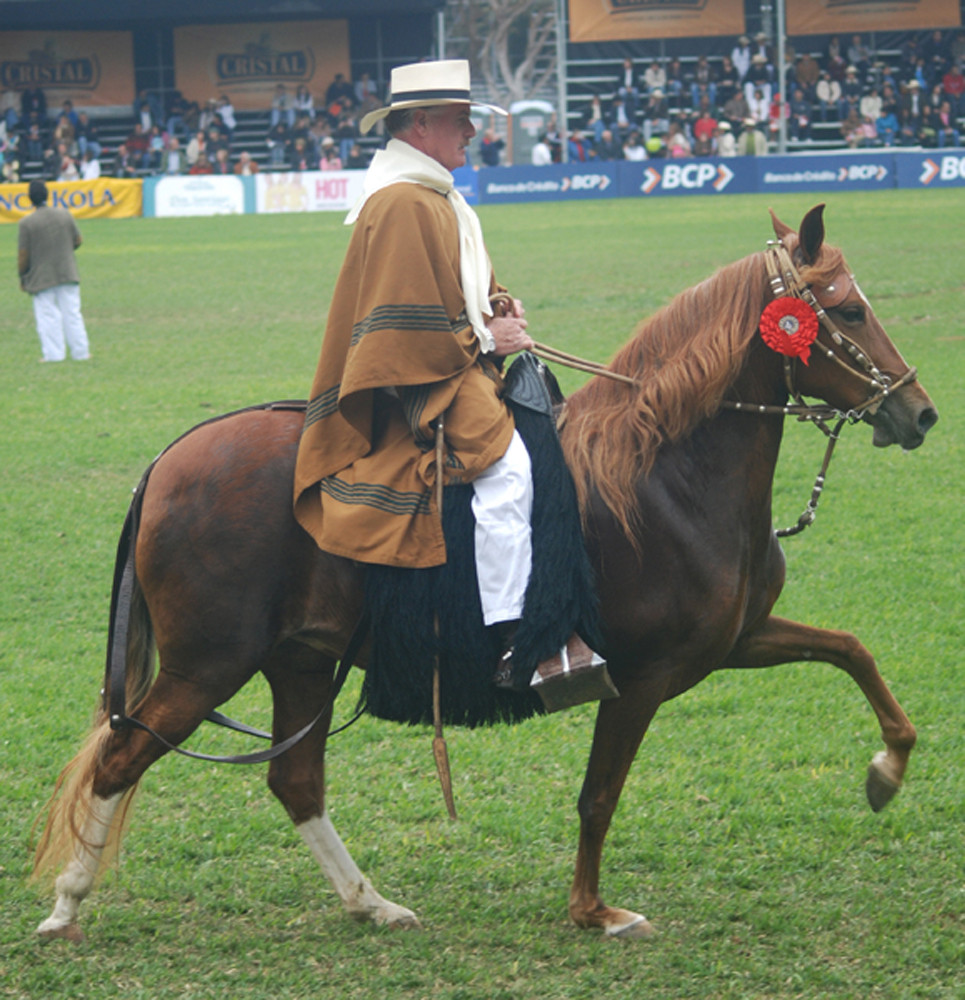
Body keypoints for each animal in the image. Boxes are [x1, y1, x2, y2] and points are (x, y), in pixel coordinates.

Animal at [30, 203, 932, 936]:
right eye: (847, 308)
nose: (916, 411)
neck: (665, 475)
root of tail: (169, 459)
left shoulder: (735, 640)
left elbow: (850, 650)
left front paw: (886, 769)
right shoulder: (639, 676)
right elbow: (598, 795)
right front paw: (592, 910)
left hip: (300, 661)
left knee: (293, 779)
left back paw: (370, 902)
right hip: (207, 665)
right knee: (121, 758)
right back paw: (68, 904)